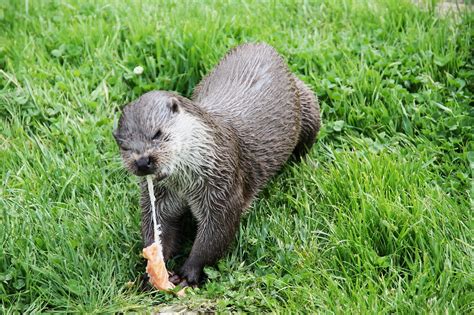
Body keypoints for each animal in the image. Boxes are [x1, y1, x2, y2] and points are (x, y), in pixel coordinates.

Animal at [114, 42, 322, 286]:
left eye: (157, 133)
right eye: (123, 146)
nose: (142, 161)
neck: (186, 182)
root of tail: (263, 44)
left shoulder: (223, 188)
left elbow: (216, 234)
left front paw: (188, 274)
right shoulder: (162, 196)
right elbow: (156, 226)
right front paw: (154, 272)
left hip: (308, 105)